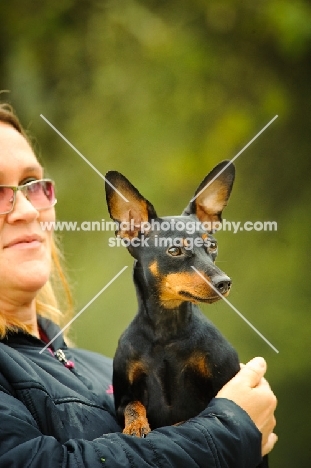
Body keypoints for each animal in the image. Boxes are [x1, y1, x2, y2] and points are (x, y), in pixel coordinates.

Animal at [105, 160, 268, 464]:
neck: (167, 333)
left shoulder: (222, 388)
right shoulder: (121, 399)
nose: (224, 282)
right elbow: (133, 405)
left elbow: (189, 420)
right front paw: (135, 427)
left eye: (212, 245)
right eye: (174, 250)